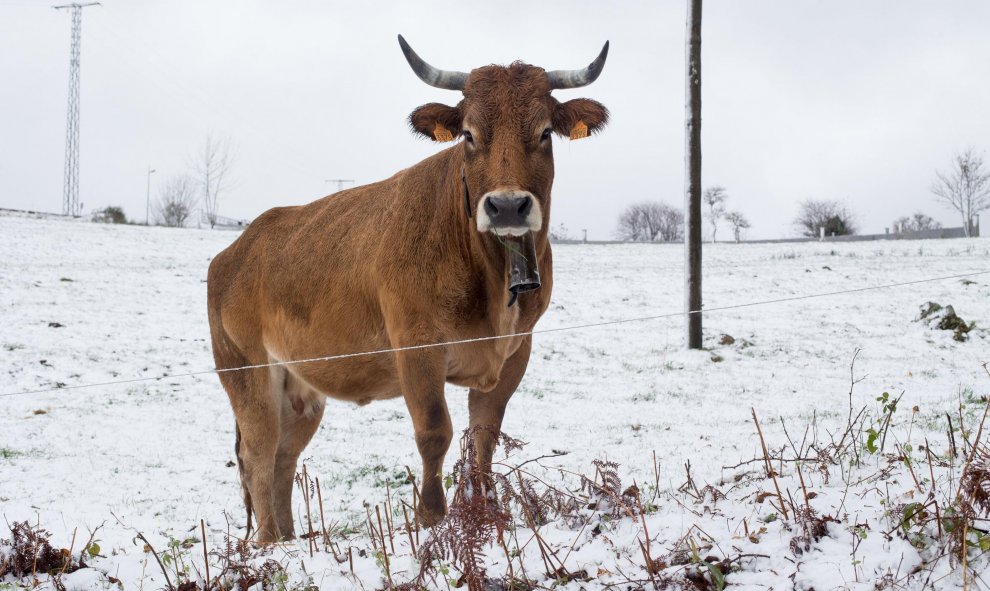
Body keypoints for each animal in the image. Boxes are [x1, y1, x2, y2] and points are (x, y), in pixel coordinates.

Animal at [208, 37, 608, 544]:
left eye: (544, 133)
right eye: (469, 135)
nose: (506, 206)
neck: (492, 277)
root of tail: (237, 249)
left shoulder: (516, 351)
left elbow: (484, 437)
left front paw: (484, 514)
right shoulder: (416, 348)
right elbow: (435, 432)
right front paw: (431, 518)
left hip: (300, 388)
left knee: (284, 456)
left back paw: (290, 540)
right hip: (247, 373)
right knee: (259, 454)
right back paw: (267, 545)